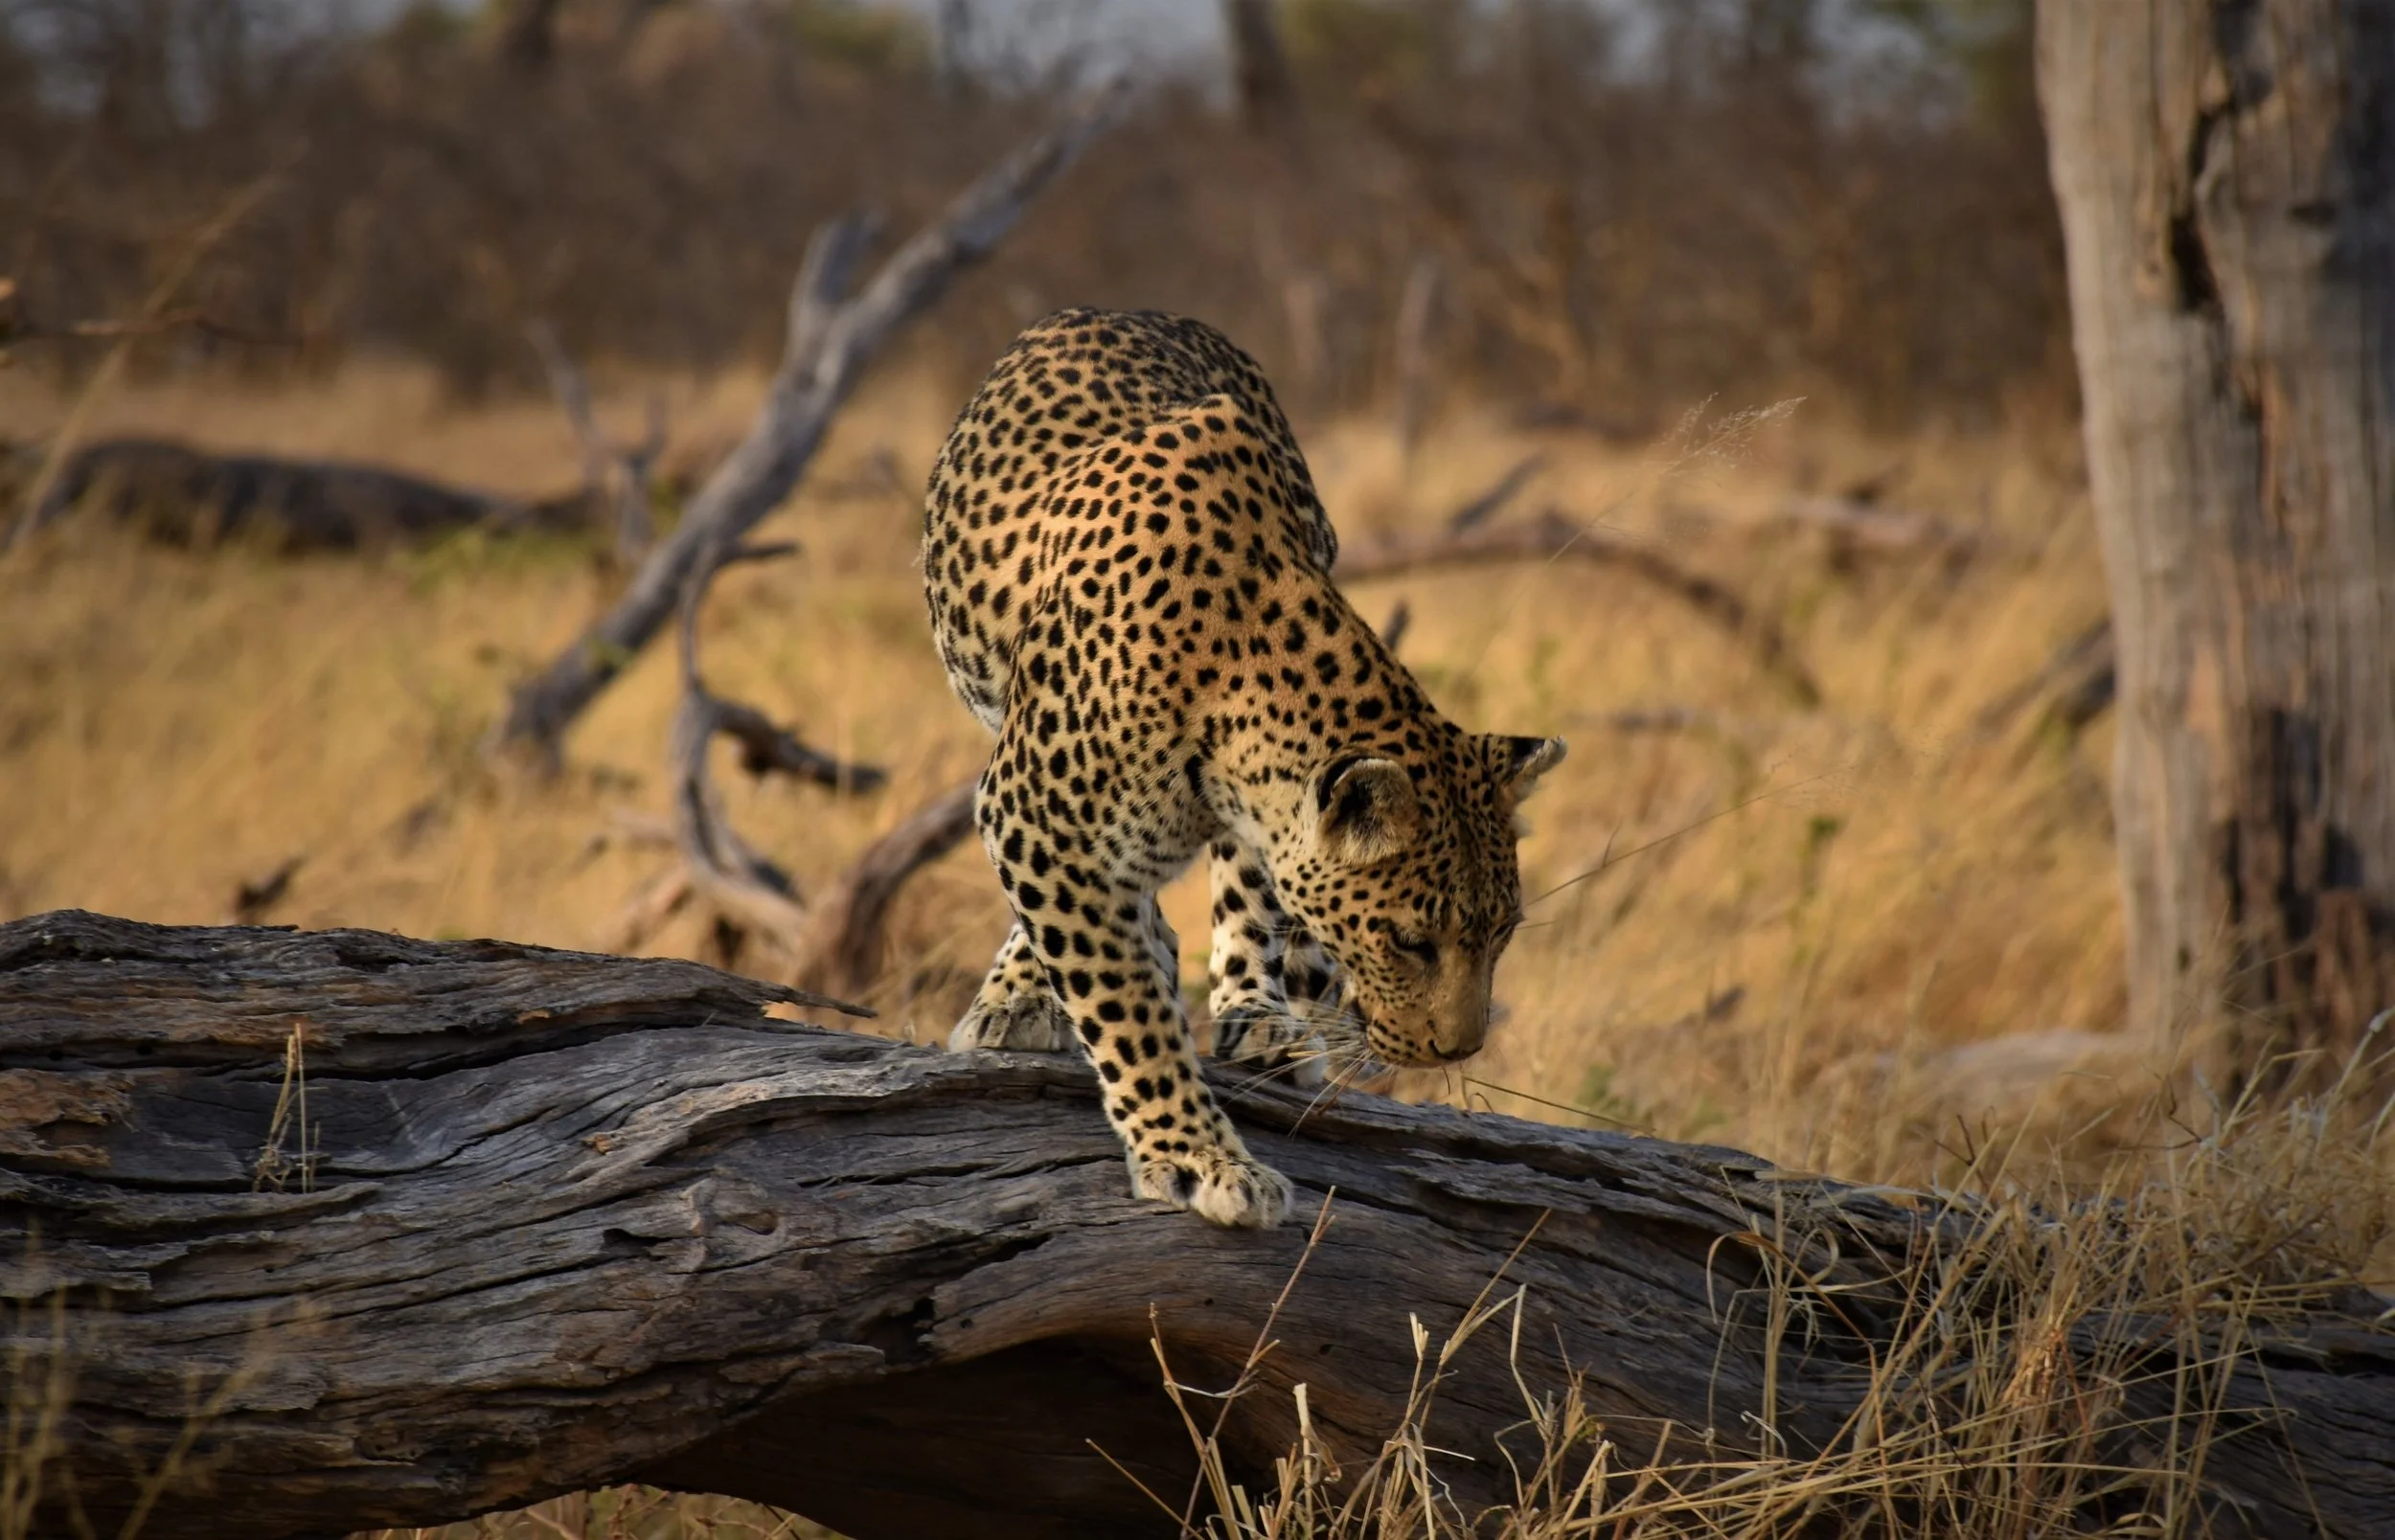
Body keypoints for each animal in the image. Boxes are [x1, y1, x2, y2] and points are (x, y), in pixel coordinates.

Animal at [923, 307, 1564, 1228]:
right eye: (1409, 942)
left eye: (1504, 931)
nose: (1459, 1048)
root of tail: (1139, 309)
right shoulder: (1035, 814)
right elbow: (1123, 1006)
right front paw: (1199, 1158)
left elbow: (1250, 897)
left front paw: (1250, 1013)